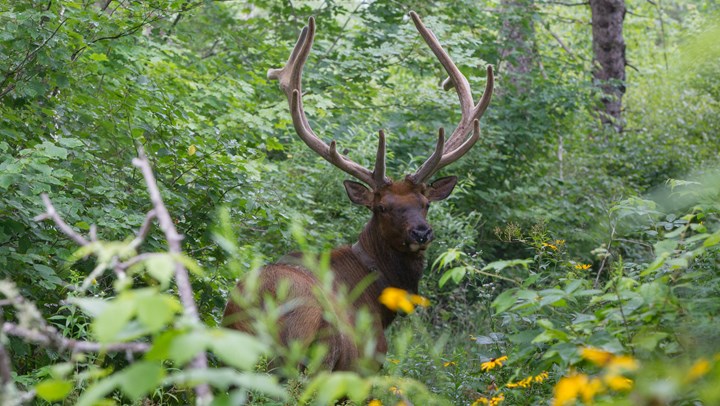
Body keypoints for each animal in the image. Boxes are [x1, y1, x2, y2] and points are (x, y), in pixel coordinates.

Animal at [224, 10, 496, 372]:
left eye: (425, 203)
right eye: (381, 207)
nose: (422, 232)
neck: (376, 298)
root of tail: (264, 307)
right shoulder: (367, 363)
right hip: (314, 359)